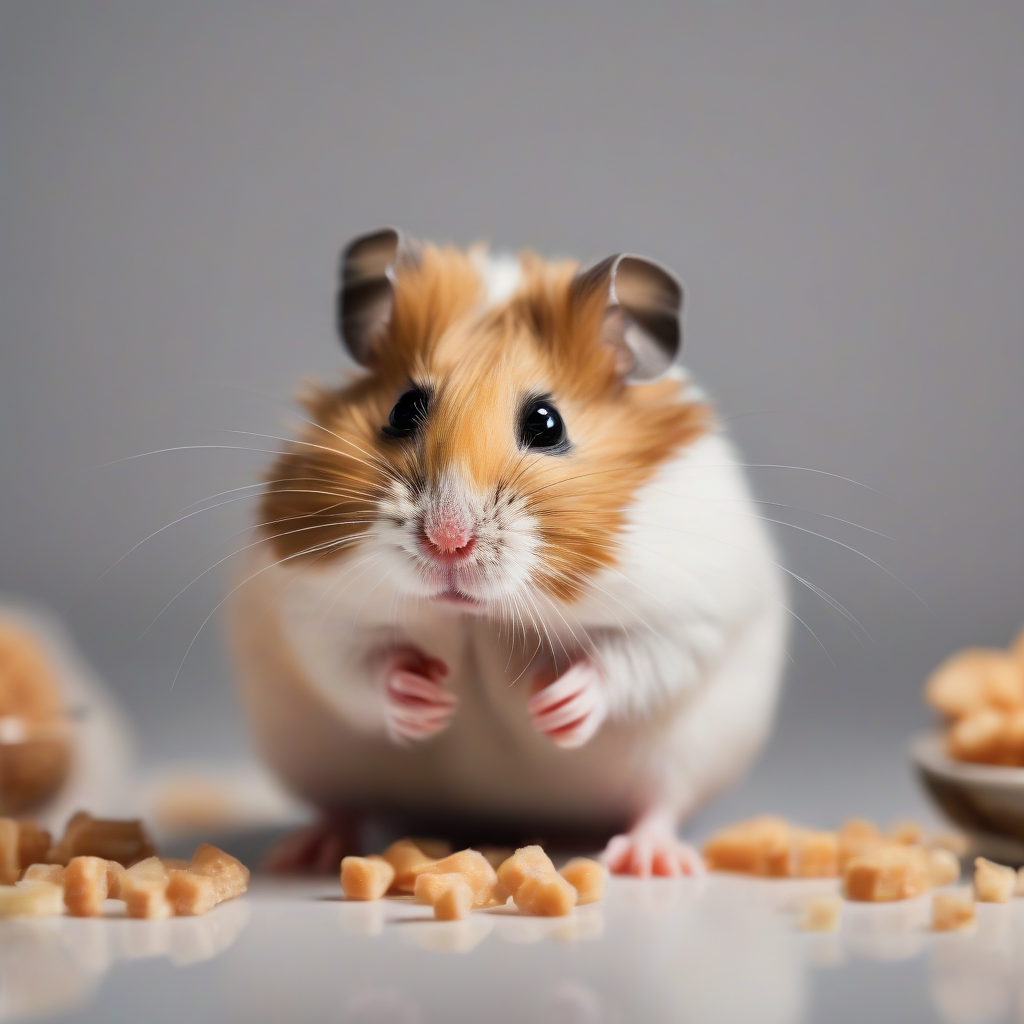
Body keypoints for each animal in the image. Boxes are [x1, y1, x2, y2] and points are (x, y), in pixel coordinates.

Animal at [226, 229, 786, 876]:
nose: (448, 542)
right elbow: (355, 664)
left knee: (659, 804)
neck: (478, 618)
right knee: (341, 805)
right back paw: (303, 852)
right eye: (401, 409)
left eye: (547, 423)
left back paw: (651, 860)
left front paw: (552, 707)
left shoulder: (689, 608)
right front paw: (430, 702)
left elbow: (634, 662)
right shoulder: (313, 606)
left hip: (688, 754)